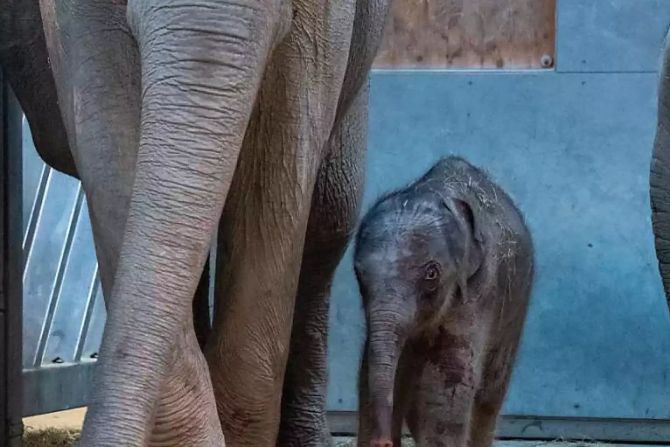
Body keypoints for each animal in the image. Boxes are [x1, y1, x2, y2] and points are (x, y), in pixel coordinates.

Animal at [353, 157, 534, 447]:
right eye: (359, 272)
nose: (383, 442)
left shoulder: (479, 289)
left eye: (431, 273)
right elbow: (370, 373)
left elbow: (447, 382)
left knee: (489, 396)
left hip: (515, 309)